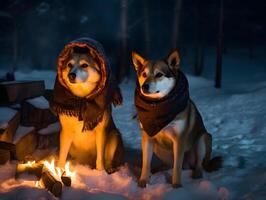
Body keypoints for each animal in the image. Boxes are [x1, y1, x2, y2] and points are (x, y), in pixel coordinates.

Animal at [50, 38, 124, 173]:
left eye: (84, 65)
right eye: (69, 65)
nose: (71, 75)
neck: (81, 99)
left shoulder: (101, 131)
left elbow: (100, 158)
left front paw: (100, 173)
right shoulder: (66, 131)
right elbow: (62, 155)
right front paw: (58, 170)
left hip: (114, 135)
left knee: (108, 160)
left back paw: (109, 170)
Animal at [132, 49, 221, 188]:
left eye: (159, 74)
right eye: (144, 74)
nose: (144, 86)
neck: (158, 105)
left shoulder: (179, 139)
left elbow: (177, 167)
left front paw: (176, 186)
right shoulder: (147, 137)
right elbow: (146, 164)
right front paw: (143, 182)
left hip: (203, 139)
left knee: (197, 165)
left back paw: (197, 175)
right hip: (158, 148)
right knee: (170, 165)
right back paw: (158, 170)